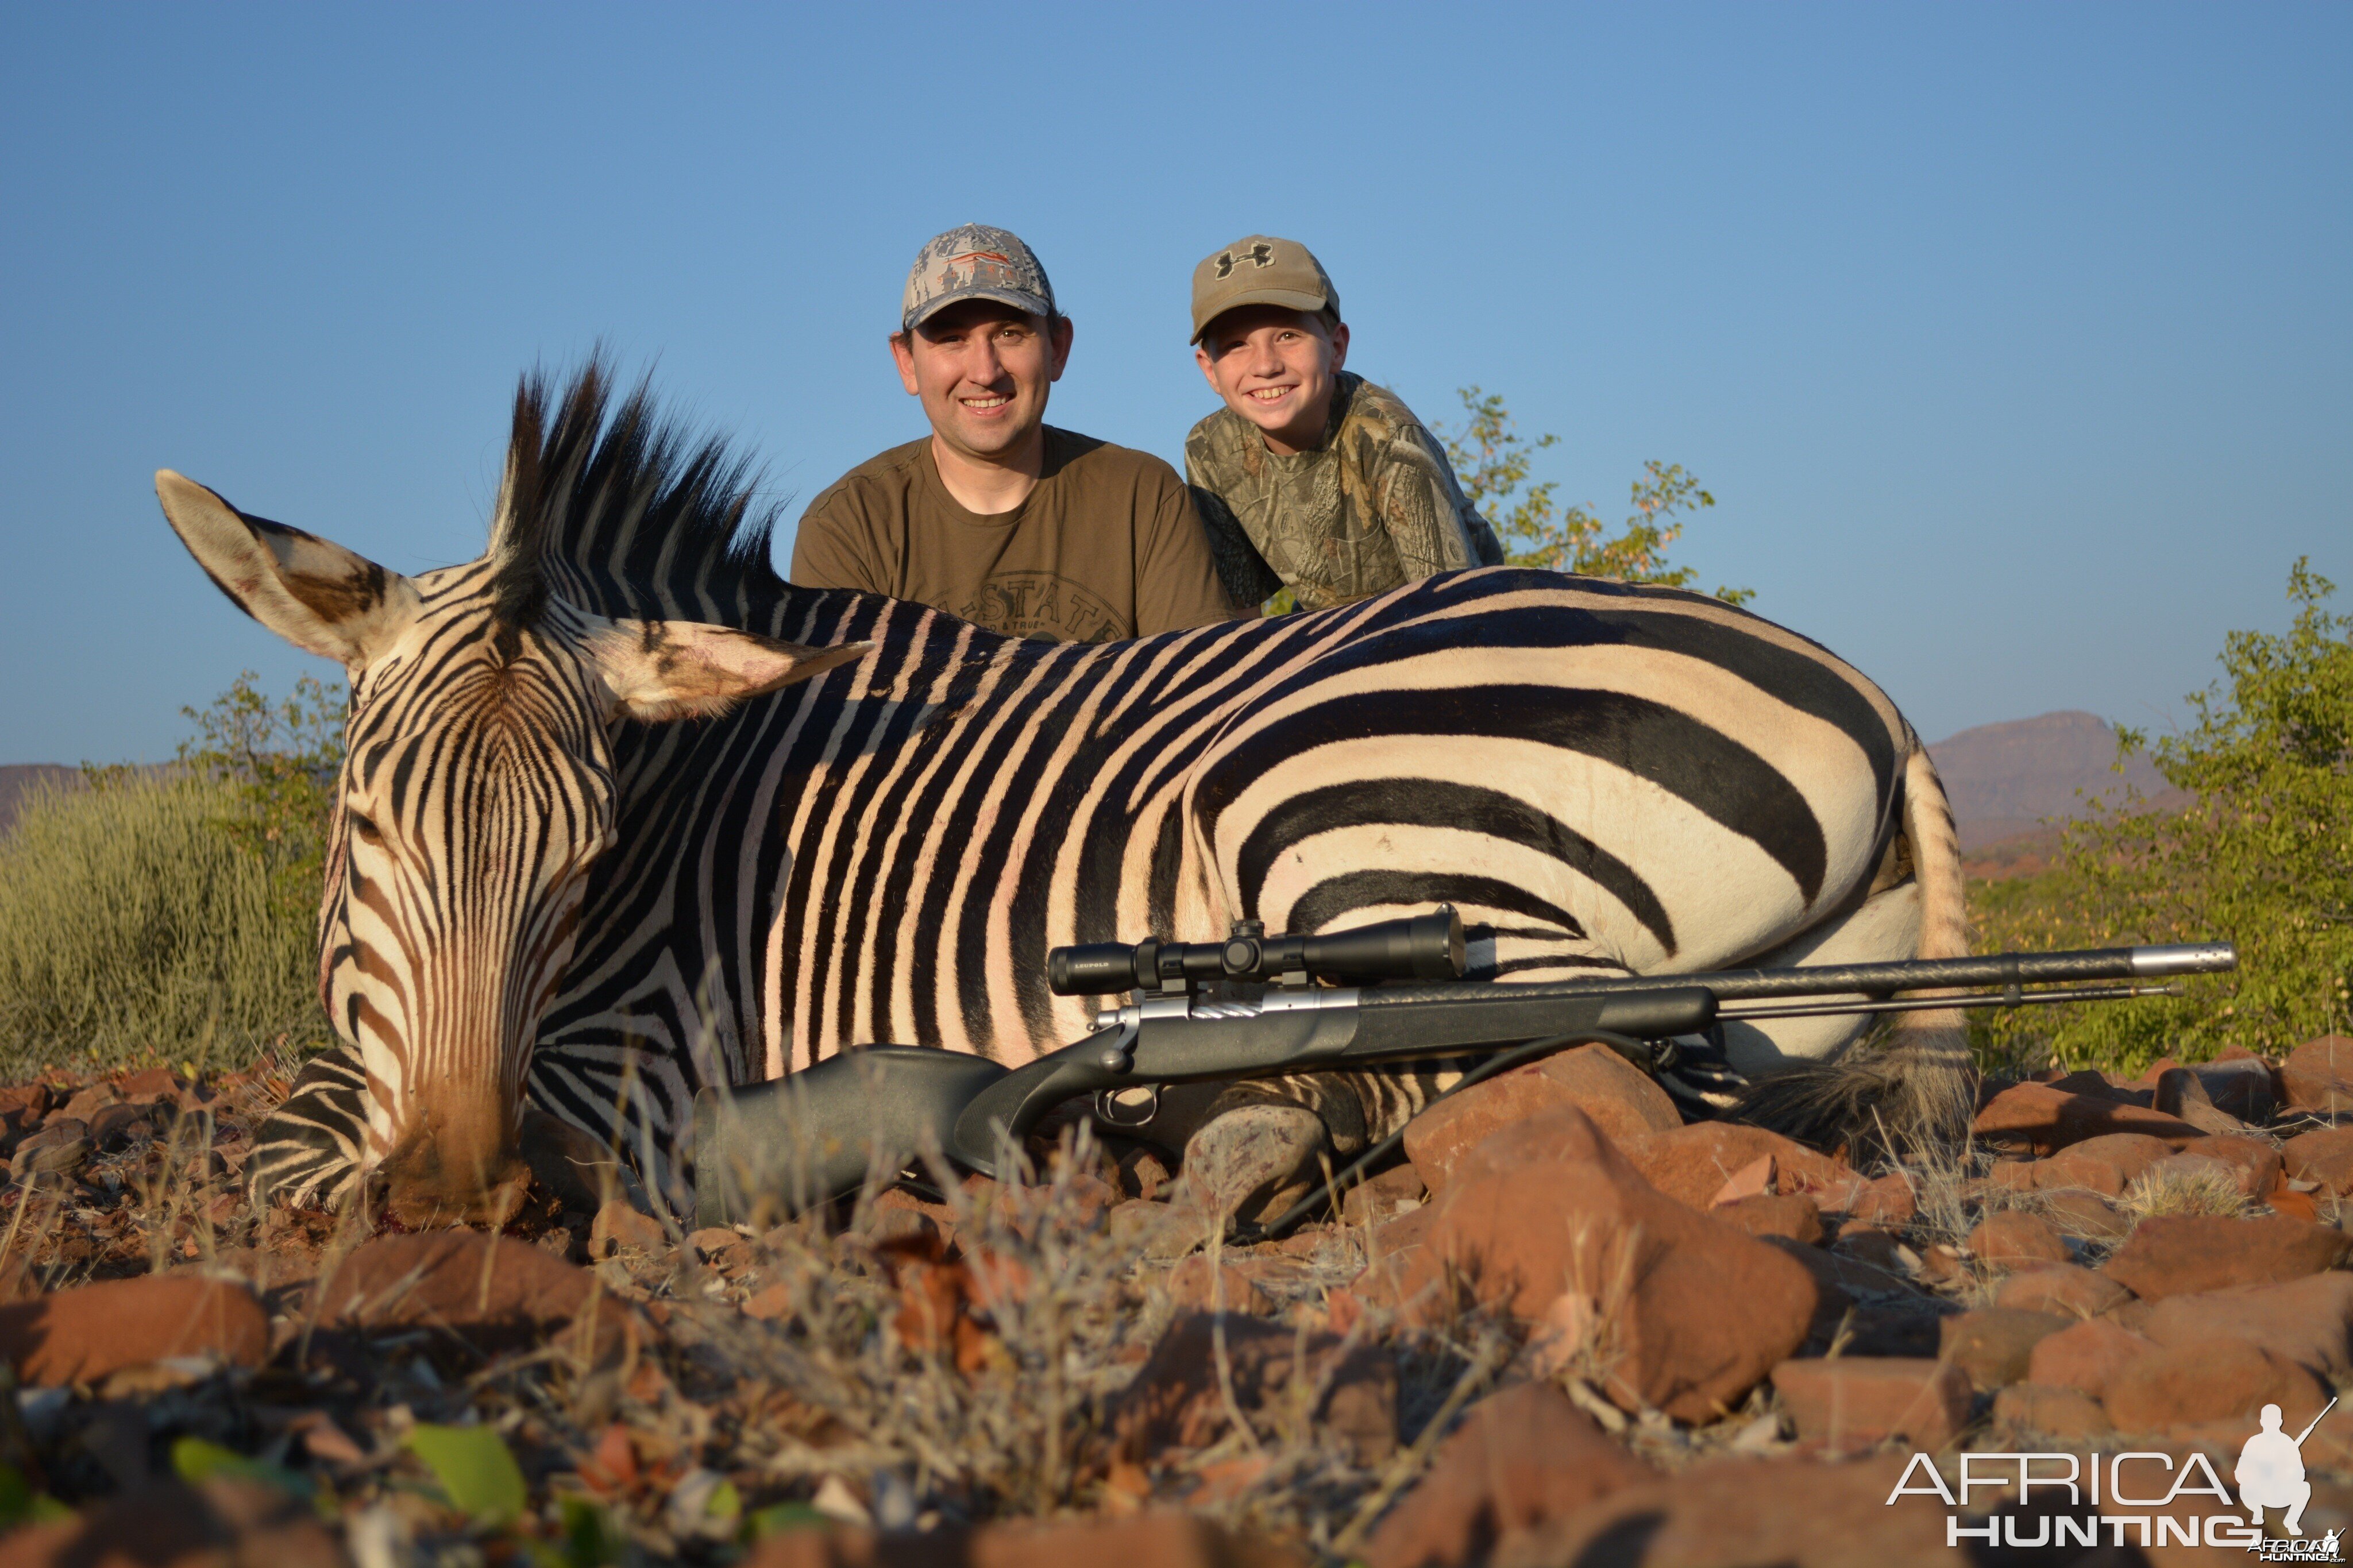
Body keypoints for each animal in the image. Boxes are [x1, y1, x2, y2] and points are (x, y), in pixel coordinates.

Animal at [156, 364, 1976, 1222]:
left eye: (589, 854)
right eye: (363, 829)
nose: (456, 1191)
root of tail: (1870, 697)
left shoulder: (633, 1059)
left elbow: (295, 1145)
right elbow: (303, 1127)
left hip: (1352, 829)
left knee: (1558, 1066)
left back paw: (1244, 1129)